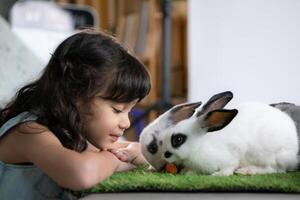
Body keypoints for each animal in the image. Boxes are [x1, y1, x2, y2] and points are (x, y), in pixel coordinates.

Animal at [139, 91, 298, 176]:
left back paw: (247, 170)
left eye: (178, 139)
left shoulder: (232, 153)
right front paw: (187, 173)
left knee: (275, 169)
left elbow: (230, 166)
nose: (164, 156)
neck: (201, 144)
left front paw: (218, 174)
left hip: (269, 156)